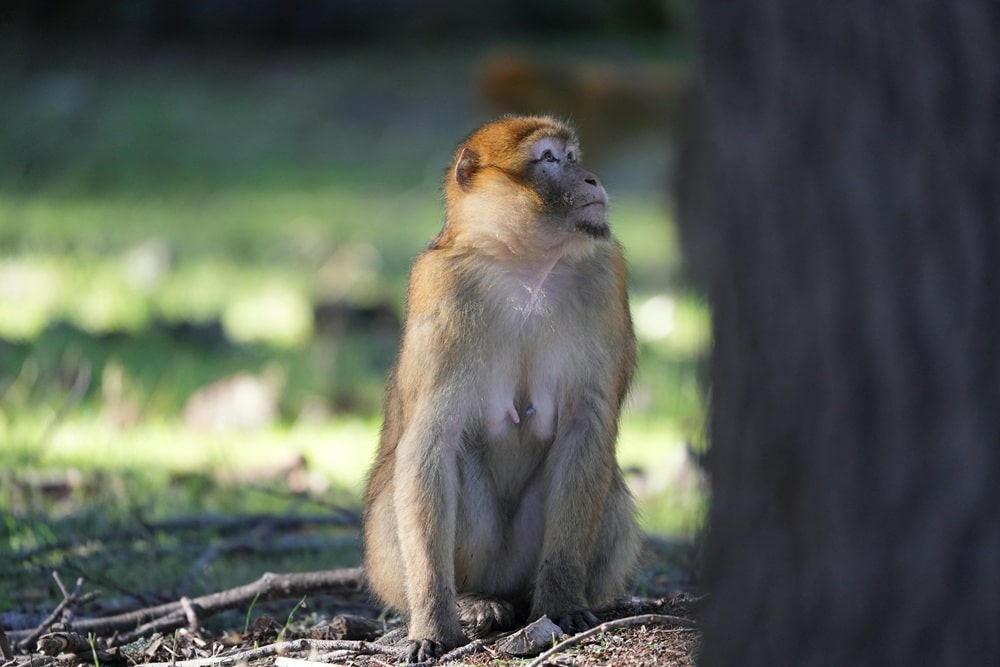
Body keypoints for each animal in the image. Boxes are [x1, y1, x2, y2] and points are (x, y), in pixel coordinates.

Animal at [362, 115, 640, 663]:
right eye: (550, 159)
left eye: (573, 157)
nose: (592, 178)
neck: (526, 262)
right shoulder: (441, 287)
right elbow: (430, 444)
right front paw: (432, 623)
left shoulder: (606, 275)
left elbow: (585, 427)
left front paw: (561, 601)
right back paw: (474, 601)